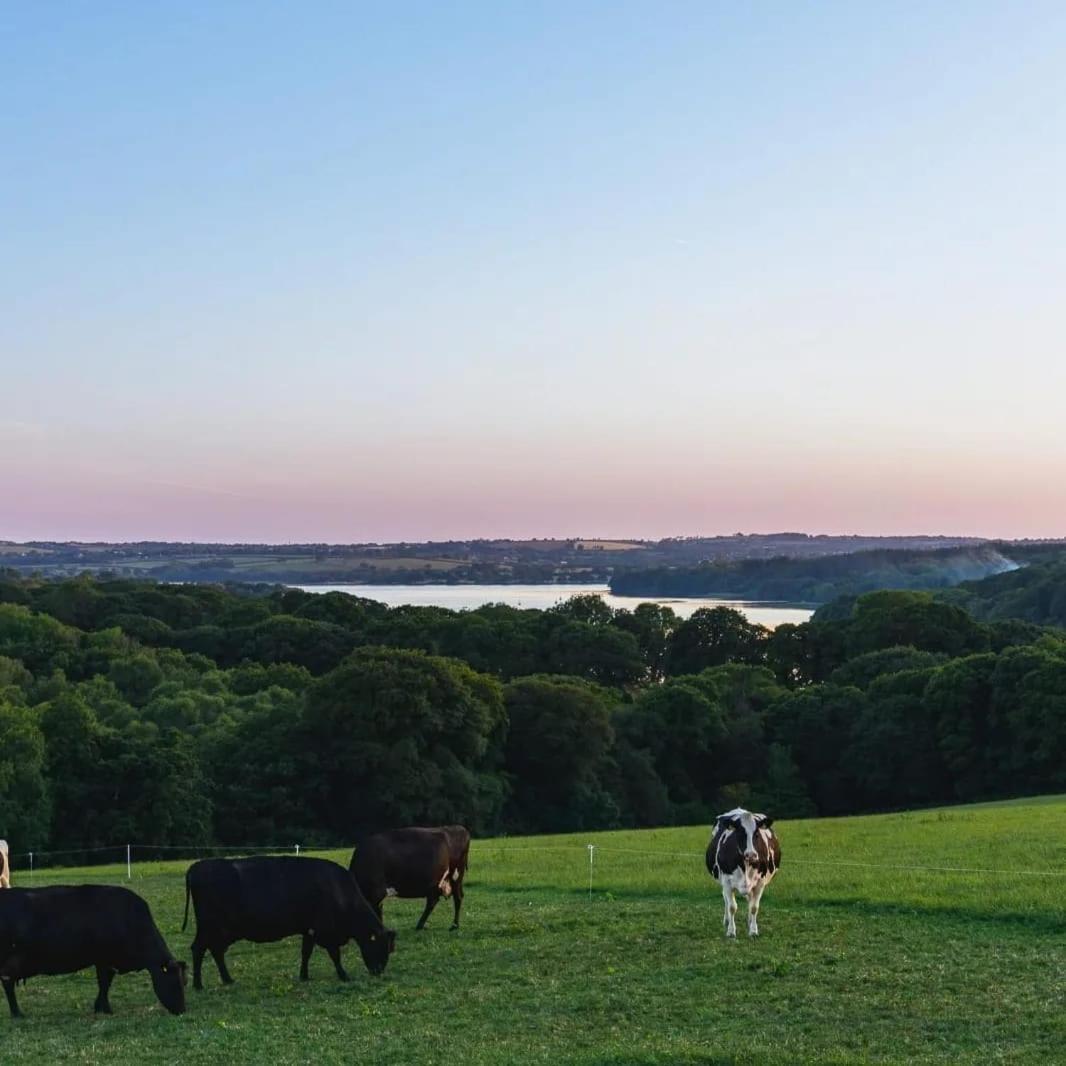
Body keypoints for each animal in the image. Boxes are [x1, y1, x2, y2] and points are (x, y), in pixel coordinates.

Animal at [0, 882, 187, 1014]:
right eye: (174, 983)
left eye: (184, 983)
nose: (182, 1011)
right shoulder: (104, 960)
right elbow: (104, 984)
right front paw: (105, 1009)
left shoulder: (107, 962)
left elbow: (105, 985)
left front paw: (100, 1007)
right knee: (8, 985)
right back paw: (17, 1013)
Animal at [183, 852, 396, 984]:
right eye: (380, 946)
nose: (379, 971)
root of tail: (197, 866)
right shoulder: (326, 931)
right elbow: (334, 955)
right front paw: (344, 975)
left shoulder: (309, 929)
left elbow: (305, 953)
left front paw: (304, 976)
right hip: (209, 927)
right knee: (198, 949)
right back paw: (198, 985)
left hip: (219, 931)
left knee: (215, 951)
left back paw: (227, 980)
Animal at [707, 810, 784, 938]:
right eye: (740, 833)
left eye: (756, 834)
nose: (751, 854)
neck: (745, 866)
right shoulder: (727, 882)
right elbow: (732, 907)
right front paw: (731, 931)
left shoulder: (760, 882)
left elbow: (754, 907)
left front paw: (753, 930)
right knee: (726, 900)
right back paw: (727, 920)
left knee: (750, 900)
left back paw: (749, 921)